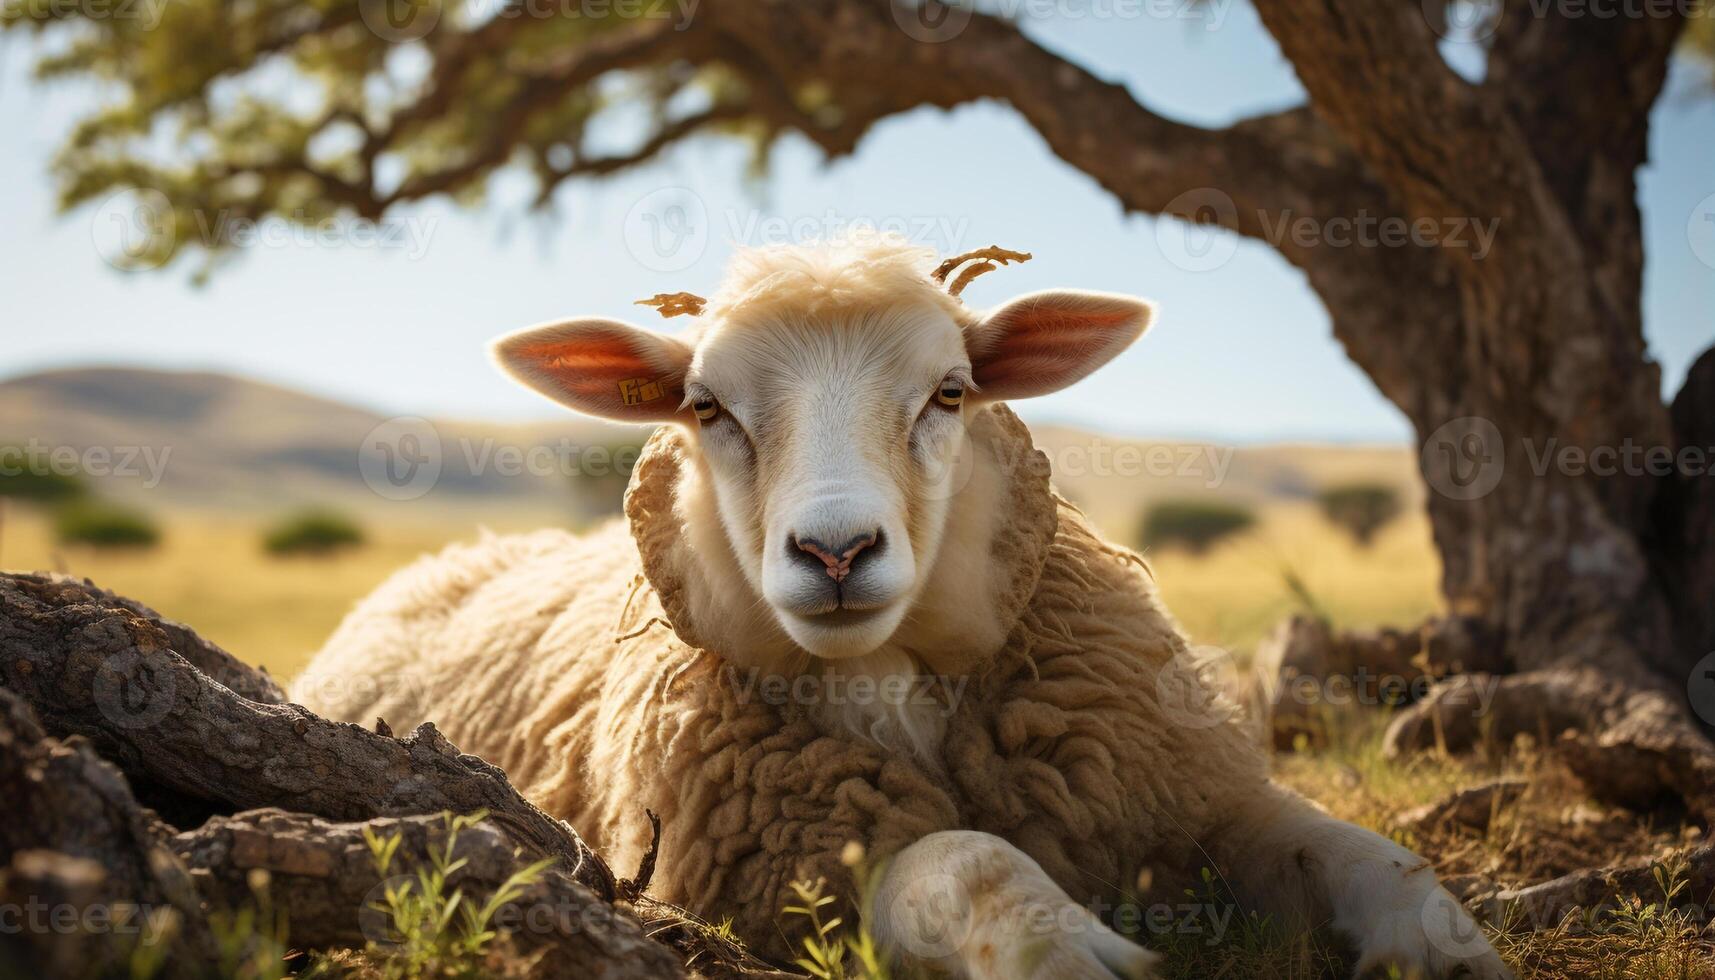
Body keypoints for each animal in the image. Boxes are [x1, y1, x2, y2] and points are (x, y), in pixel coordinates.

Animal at [301, 240, 1509, 980]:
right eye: (704, 406)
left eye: (951, 391)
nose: (835, 550)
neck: (891, 678)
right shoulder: (804, 876)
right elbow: (962, 856)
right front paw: (1058, 946)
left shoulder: (1188, 797)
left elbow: (1352, 846)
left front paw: (1442, 941)